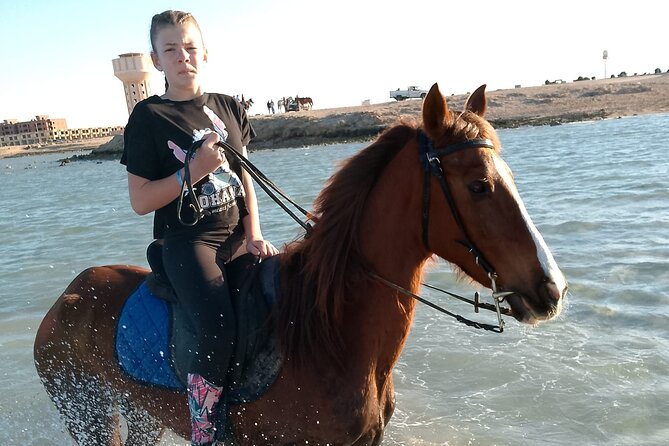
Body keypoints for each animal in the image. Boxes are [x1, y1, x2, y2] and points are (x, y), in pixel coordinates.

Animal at [34, 83, 567, 445]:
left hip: (141, 414)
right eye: (479, 185)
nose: (553, 289)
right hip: (88, 414)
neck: (327, 332)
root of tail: (66, 297)